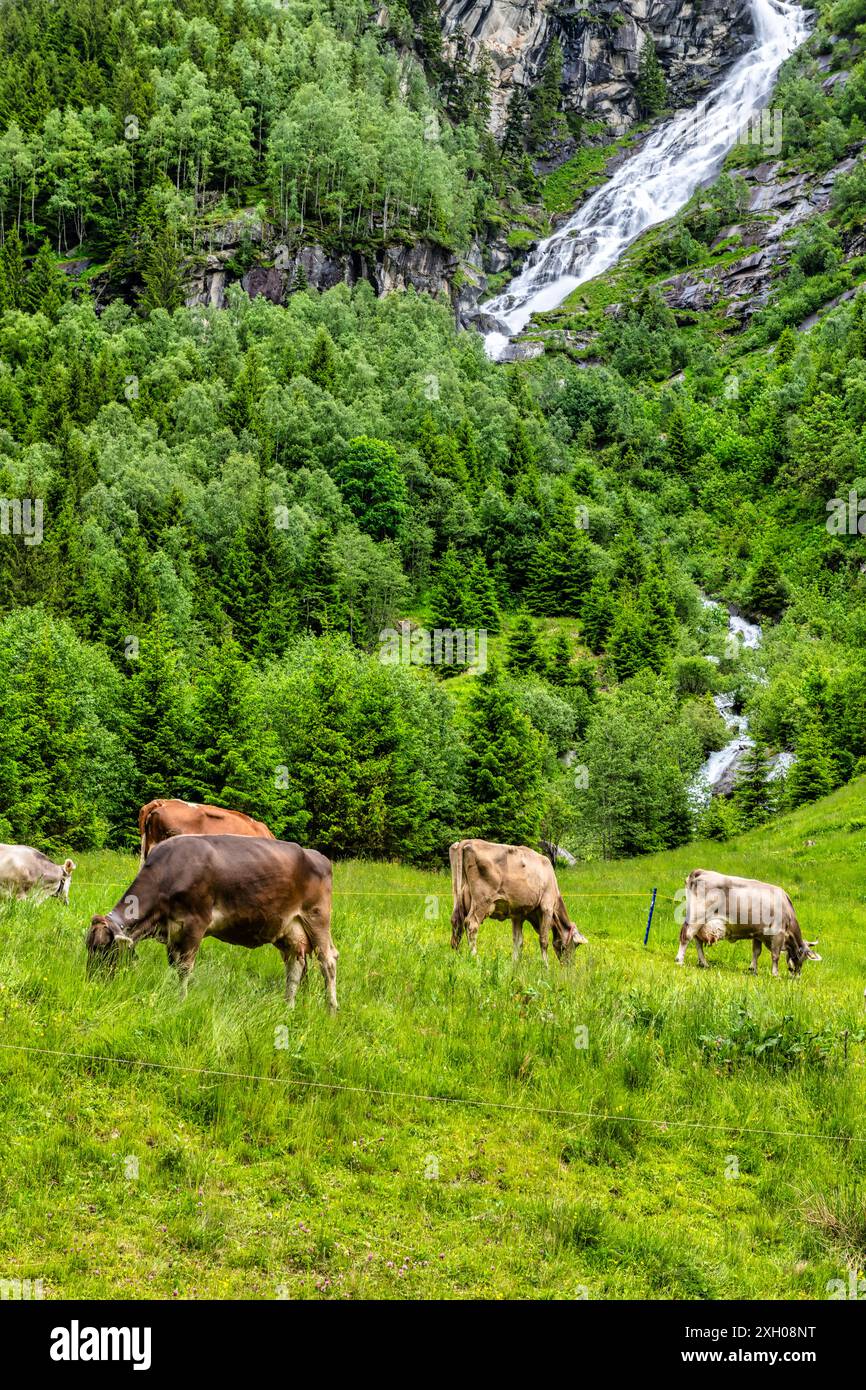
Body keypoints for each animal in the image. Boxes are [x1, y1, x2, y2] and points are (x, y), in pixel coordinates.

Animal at [87, 828, 339, 1017]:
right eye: (88, 947)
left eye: (103, 948)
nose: (92, 982)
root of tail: (317, 856)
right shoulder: (172, 932)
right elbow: (174, 965)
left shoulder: (195, 924)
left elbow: (184, 969)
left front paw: (181, 1000)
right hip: (288, 930)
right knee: (295, 966)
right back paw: (288, 1007)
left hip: (317, 917)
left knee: (328, 961)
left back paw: (331, 1010)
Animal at [447, 839, 589, 961]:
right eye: (575, 945)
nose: (570, 964)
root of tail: (469, 841)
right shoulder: (547, 907)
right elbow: (544, 940)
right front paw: (546, 968)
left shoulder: (517, 915)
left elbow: (518, 941)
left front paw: (515, 965)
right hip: (482, 901)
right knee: (471, 924)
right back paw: (474, 958)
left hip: (458, 896)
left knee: (456, 922)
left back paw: (456, 956)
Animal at [675, 867, 822, 978]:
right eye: (802, 957)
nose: (797, 976)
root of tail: (700, 871)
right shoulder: (777, 934)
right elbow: (775, 955)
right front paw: (775, 974)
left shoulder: (758, 934)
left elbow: (756, 952)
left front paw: (753, 969)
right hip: (697, 916)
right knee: (686, 936)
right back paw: (680, 961)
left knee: (697, 940)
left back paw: (704, 963)